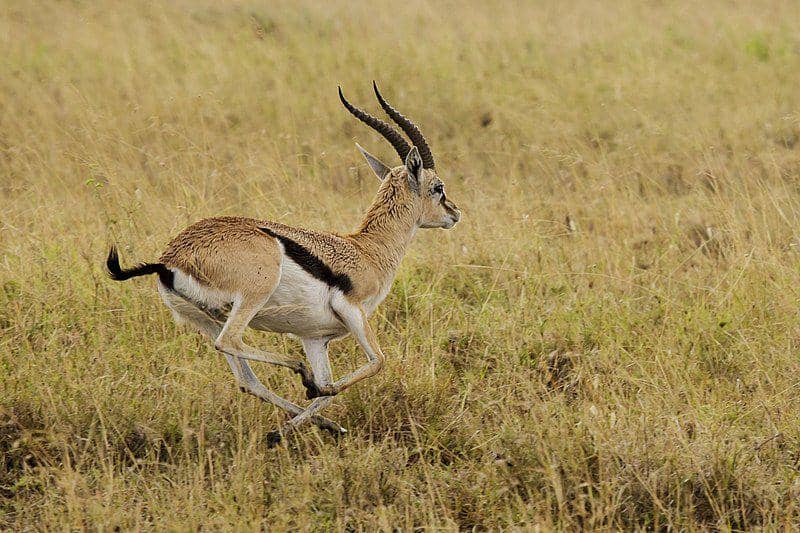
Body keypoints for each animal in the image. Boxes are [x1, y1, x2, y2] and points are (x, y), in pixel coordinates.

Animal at [106, 83, 461, 446]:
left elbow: (329, 387)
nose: (454, 213)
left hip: (205, 319)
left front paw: (289, 429)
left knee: (247, 379)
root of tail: (169, 260)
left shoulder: (315, 336)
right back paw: (302, 376)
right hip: (249, 300)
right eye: (438, 187)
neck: (366, 250)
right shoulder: (353, 310)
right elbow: (374, 363)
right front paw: (312, 393)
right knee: (232, 342)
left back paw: (307, 426)